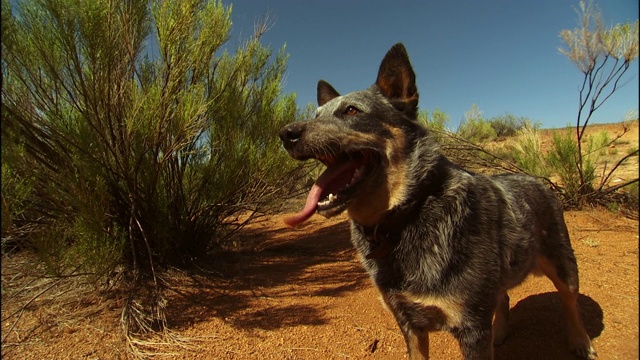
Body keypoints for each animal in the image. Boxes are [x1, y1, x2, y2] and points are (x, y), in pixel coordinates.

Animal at [278, 43, 596, 358]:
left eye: (352, 110)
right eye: (316, 116)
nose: (285, 134)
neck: (408, 214)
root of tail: (536, 179)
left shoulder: (471, 327)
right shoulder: (408, 322)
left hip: (564, 267)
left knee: (571, 304)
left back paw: (581, 342)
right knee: (503, 298)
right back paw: (502, 333)